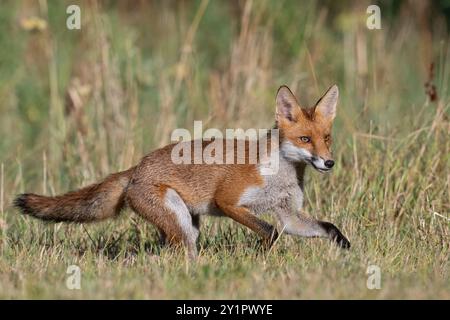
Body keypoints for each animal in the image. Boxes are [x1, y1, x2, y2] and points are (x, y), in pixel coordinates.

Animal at [14, 84, 350, 258]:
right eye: (305, 139)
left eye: (326, 138)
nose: (329, 162)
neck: (278, 175)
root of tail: (136, 168)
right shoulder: (229, 201)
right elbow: (270, 231)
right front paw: (266, 254)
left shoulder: (288, 213)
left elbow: (325, 227)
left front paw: (345, 248)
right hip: (181, 226)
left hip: (187, 225)